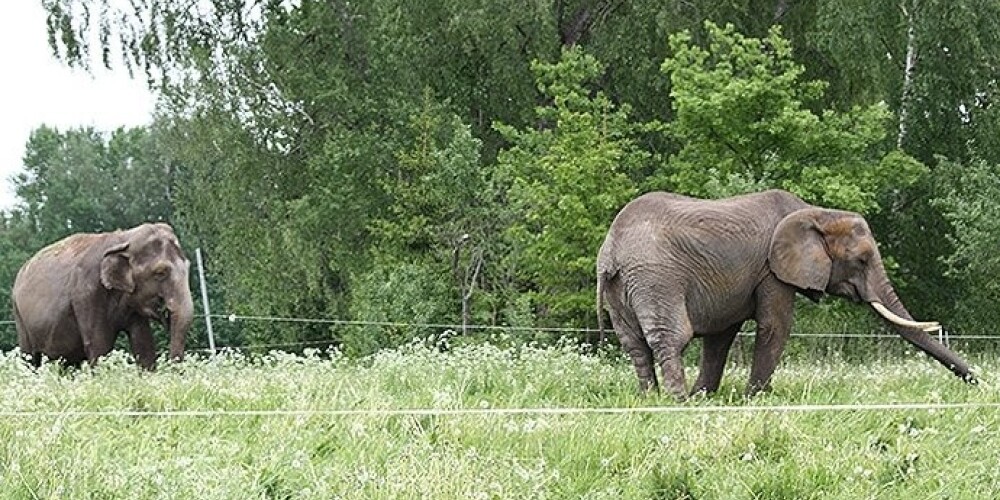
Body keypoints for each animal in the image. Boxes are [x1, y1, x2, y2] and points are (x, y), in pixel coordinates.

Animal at [12, 221, 194, 370]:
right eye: (160, 273)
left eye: (188, 267)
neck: (124, 238)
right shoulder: (87, 292)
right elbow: (98, 345)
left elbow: (143, 343)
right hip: (19, 317)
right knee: (30, 357)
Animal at [592, 188, 976, 398]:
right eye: (863, 259)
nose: (979, 383)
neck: (816, 212)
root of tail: (611, 249)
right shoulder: (772, 272)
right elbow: (775, 327)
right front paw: (754, 399)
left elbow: (721, 336)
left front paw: (707, 396)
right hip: (656, 277)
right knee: (669, 339)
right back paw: (678, 402)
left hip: (623, 286)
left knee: (635, 346)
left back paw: (650, 399)